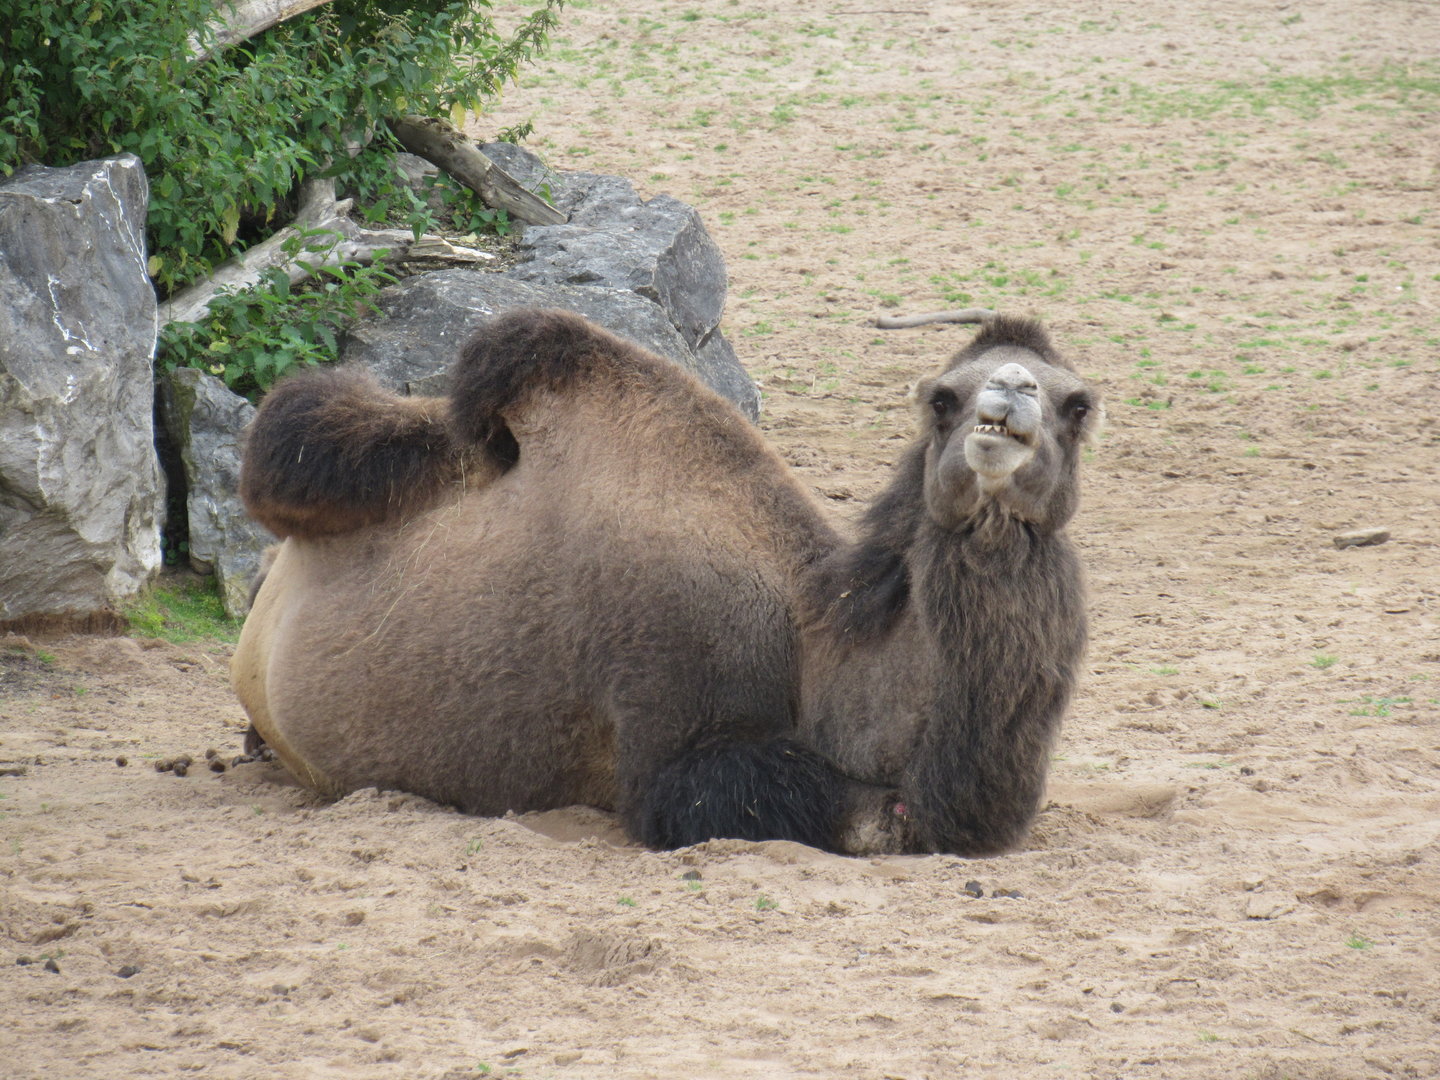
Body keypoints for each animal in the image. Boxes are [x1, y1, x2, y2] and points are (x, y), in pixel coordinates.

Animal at [231, 307, 1100, 855]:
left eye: (1078, 405)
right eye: (944, 399)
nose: (1011, 393)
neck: (812, 653)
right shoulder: (669, 717)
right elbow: (868, 817)